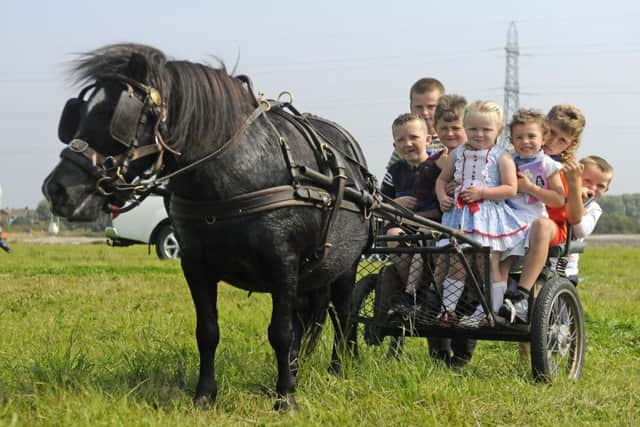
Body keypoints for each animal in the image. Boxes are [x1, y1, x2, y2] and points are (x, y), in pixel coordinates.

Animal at [43, 44, 376, 412]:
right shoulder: (196, 265)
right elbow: (208, 331)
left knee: (342, 313)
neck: (239, 170)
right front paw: (205, 394)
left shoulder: (284, 264)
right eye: (76, 113)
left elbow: (281, 332)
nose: (57, 189)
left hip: (344, 264)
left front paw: (286, 397)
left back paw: (338, 369)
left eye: (117, 115)